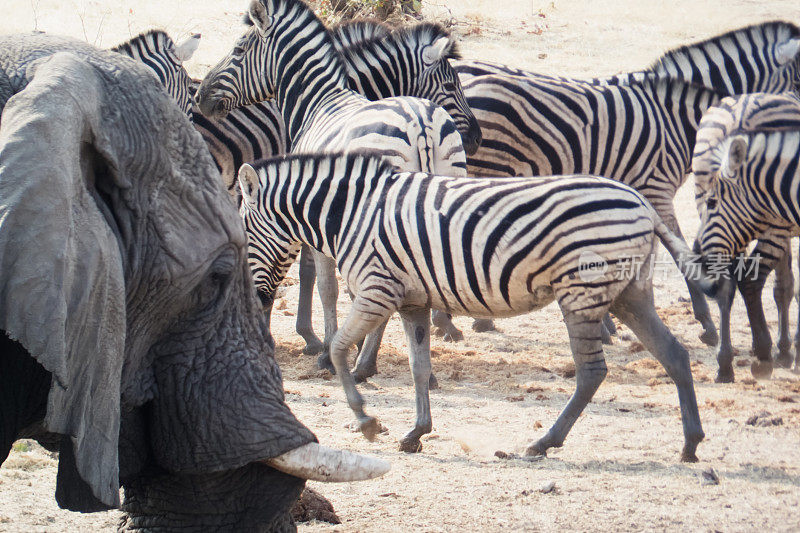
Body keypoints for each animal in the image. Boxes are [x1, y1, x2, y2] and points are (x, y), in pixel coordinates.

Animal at [193, 0, 468, 370]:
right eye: (452, 86)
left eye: (238, 50)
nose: (201, 97)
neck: (319, 101)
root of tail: (420, 124)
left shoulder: (312, 212)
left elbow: (325, 283)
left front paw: (326, 348)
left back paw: (365, 362)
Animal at [236, 150, 708, 462]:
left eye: (241, 231)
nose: (255, 299)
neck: (351, 214)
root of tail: (641, 202)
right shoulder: (411, 301)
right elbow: (418, 367)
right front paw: (416, 433)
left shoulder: (376, 290)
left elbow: (337, 351)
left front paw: (366, 421)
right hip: (629, 292)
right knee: (674, 354)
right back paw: (690, 443)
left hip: (583, 290)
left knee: (592, 371)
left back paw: (544, 443)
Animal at [692, 91, 800, 376]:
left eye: (713, 202)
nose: (697, 256)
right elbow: (788, 285)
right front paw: (788, 349)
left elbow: (784, 286)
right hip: (770, 225)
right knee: (752, 276)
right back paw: (762, 353)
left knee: (729, 282)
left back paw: (726, 363)